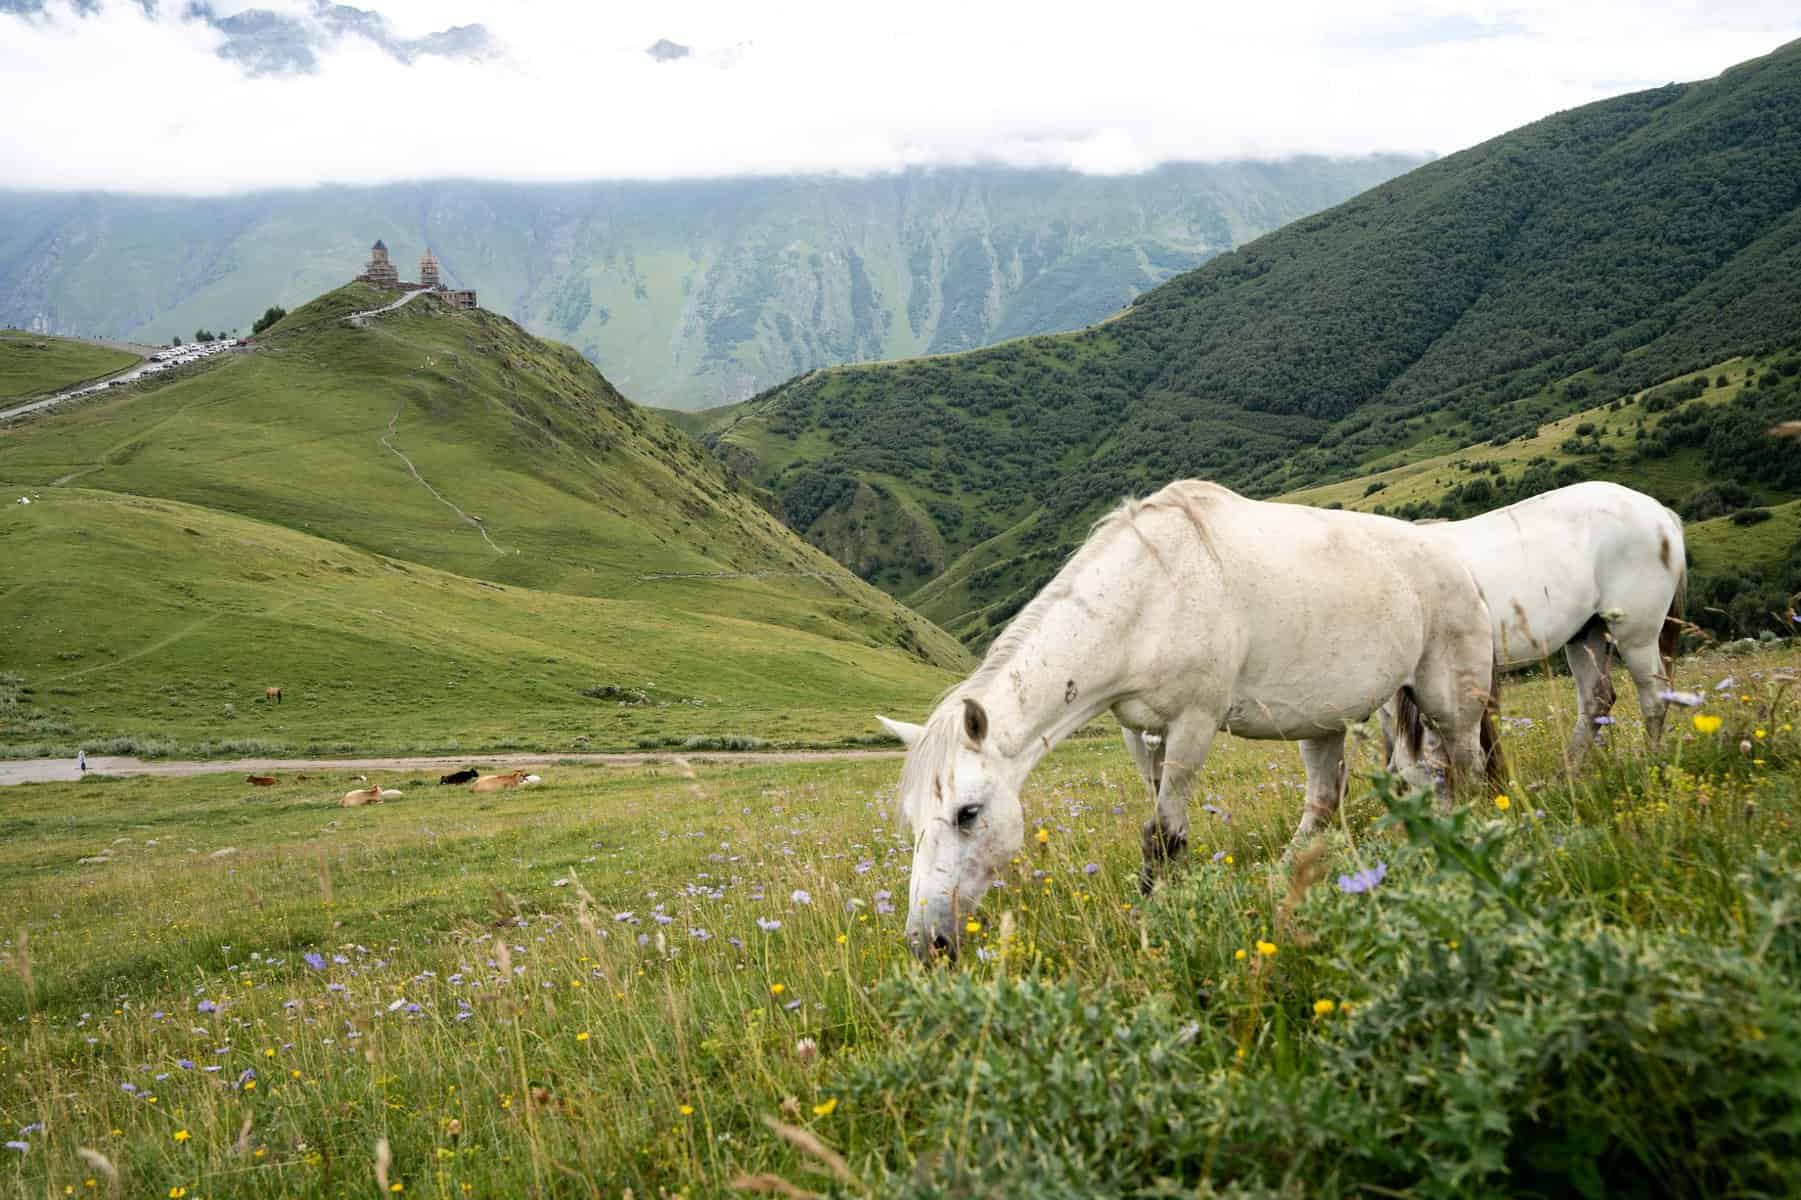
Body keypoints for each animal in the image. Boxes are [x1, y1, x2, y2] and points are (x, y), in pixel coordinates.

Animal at [878, 482, 1498, 958]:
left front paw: (1151, 919)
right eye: (913, 821)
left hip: (1446, 701)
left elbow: (1163, 836)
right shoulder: (1140, 732)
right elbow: (1163, 824)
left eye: (968, 813)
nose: (927, 942)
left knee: (1464, 768)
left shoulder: (1193, 725)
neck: (1148, 596)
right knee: (1348, 796)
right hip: (1330, 721)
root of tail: (1455, 561)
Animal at [1390, 482, 1685, 771]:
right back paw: (1568, 773)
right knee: (1596, 702)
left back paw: (1651, 764)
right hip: (1588, 635)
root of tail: (1659, 510)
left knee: (1654, 698)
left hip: (1637, 637)